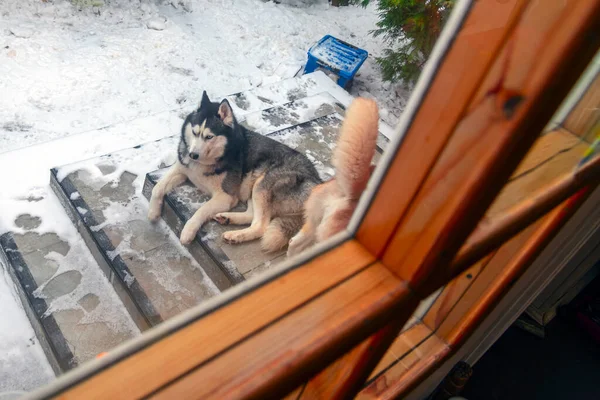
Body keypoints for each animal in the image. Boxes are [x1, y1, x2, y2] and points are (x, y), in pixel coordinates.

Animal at [147, 92, 322, 252]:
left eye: (209, 137)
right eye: (195, 133)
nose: (193, 155)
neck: (207, 161)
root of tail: (318, 181)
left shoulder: (226, 196)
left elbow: (201, 210)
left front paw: (188, 231)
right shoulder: (181, 168)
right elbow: (157, 188)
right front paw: (153, 212)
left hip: (264, 183)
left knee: (260, 226)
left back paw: (235, 235)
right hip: (253, 189)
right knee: (252, 214)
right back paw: (226, 218)